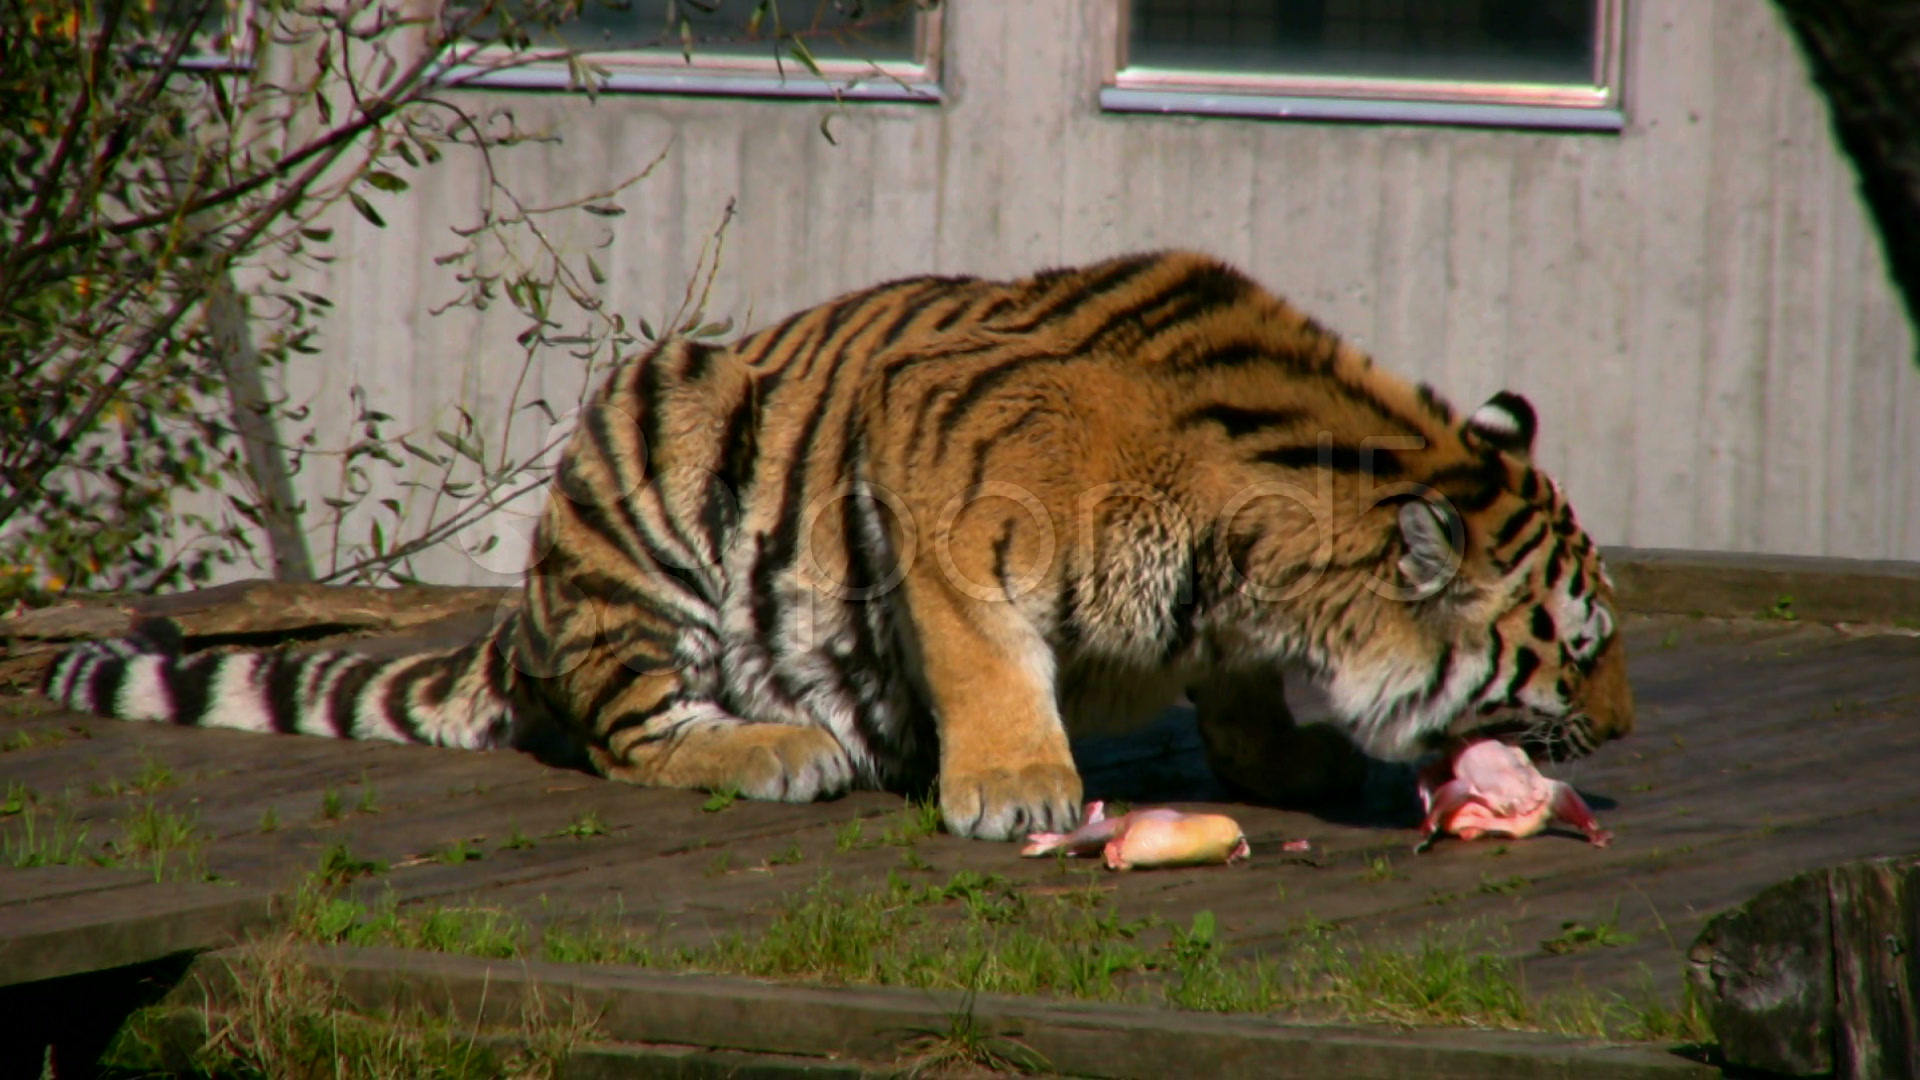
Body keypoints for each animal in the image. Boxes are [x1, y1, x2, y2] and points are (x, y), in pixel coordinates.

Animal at [43, 250, 1632, 841]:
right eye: (1581, 649)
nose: (1619, 734)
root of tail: (530, 608)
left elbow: (1233, 682)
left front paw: (1285, 759)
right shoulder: (941, 462)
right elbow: (986, 653)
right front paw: (1016, 789)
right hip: (658, 428)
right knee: (627, 731)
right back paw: (781, 748)